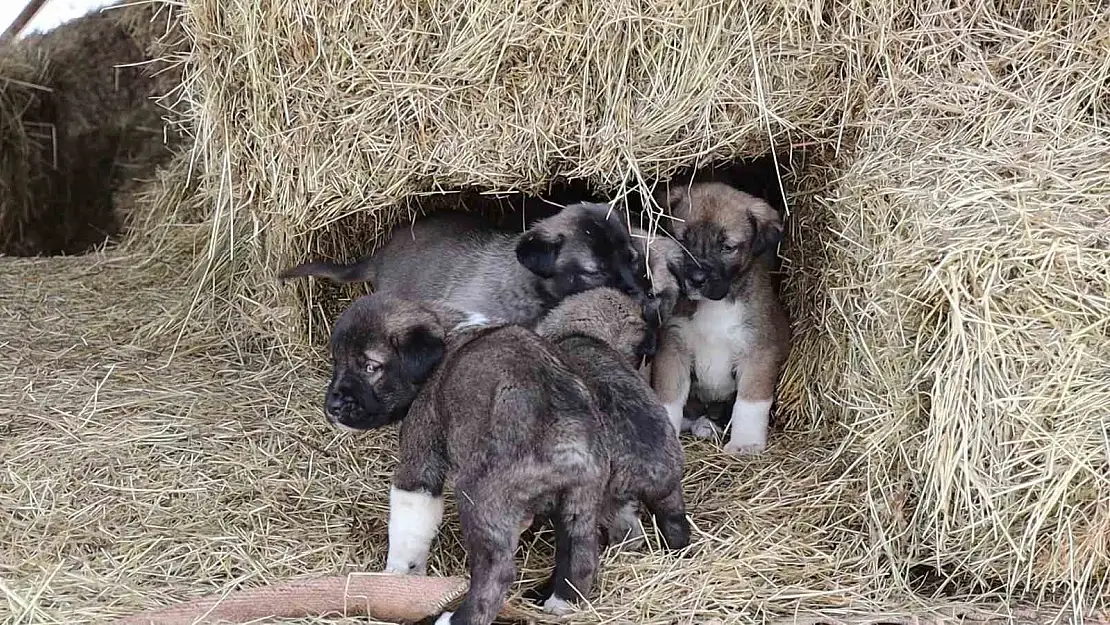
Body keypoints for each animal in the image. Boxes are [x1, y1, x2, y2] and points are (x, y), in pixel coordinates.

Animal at [648, 180, 790, 455]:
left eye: (727, 248)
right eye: (682, 241)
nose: (696, 279)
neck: (715, 306)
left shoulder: (759, 352)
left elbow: (750, 402)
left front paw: (746, 443)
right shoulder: (673, 347)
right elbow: (668, 396)